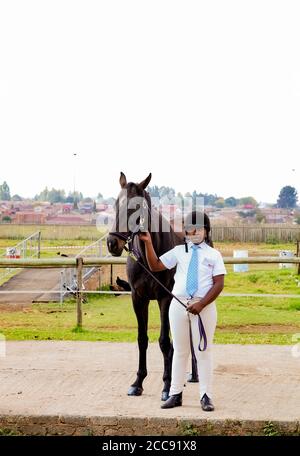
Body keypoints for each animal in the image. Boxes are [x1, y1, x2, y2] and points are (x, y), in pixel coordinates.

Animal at [107, 173, 197, 400]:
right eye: (115, 204)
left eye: (136, 207)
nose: (112, 243)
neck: (150, 257)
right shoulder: (138, 298)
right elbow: (142, 339)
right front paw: (138, 383)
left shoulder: (165, 299)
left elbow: (164, 341)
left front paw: (166, 386)